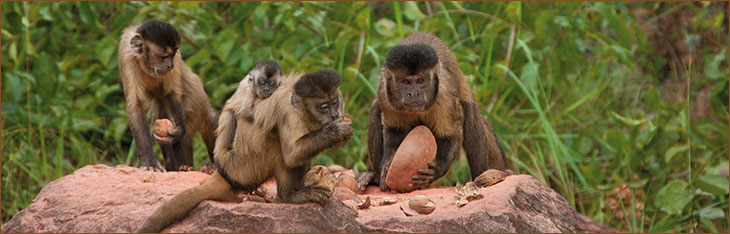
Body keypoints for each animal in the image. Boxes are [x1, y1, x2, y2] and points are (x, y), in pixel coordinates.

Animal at [118, 19, 216, 172]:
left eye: (172, 56)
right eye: (163, 57)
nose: (170, 66)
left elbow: (170, 93)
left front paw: (178, 132)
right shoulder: (126, 54)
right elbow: (135, 105)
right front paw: (149, 161)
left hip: (195, 101)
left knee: (210, 119)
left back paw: (211, 165)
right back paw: (183, 168)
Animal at [138, 69, 354, 232]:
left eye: (335, 102)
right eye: (324, 107)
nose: (334, 115)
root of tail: (222, 172)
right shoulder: (289, 112)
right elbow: (292, 154)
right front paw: (335, 131)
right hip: (243, 168)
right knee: (277, 143)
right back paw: (289, 197)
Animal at [354, 31, 506, 192]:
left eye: (420, 81)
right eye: (405, 82)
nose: (414, 93)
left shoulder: (444, 96)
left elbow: (451, 134)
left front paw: (438, 168)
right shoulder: (384, 93)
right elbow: (394, 130)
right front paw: (387, 165)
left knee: (471, 114)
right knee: (375, 107)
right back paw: (375, 177)